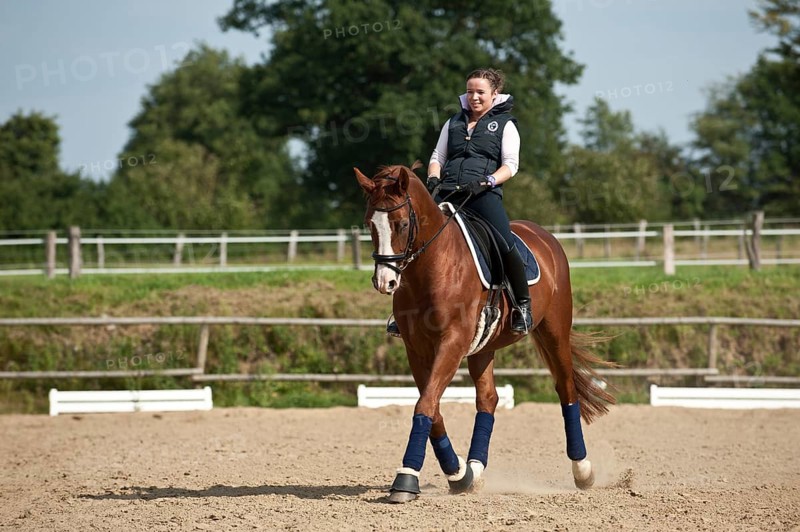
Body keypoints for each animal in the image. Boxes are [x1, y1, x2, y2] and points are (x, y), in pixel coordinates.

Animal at [355, 163, 615, 503]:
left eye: (401, 224)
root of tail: (544, 236)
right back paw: (474, 470)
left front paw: (406, 478)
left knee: (566, 390)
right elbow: (432, 406)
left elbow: (425, 404)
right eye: (369, 224)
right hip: (483, 346)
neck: (433, 266)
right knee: (488, 399)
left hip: (554, 331)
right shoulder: (416, 348)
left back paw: (582, 471)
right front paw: (458, 473)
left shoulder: (452, 342)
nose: (384, 281)